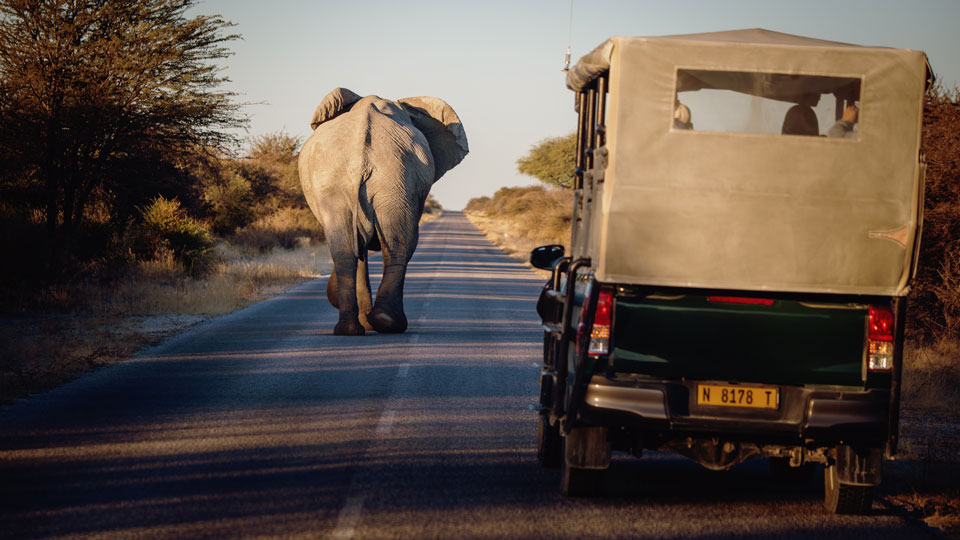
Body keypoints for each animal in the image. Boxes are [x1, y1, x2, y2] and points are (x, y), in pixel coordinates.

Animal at [298, 87, 466, 336]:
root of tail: (362, 155)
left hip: (388, 180)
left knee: (355, 250)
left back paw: (362, 327)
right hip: (381, 179)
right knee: (393, 246)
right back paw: (379, 325)